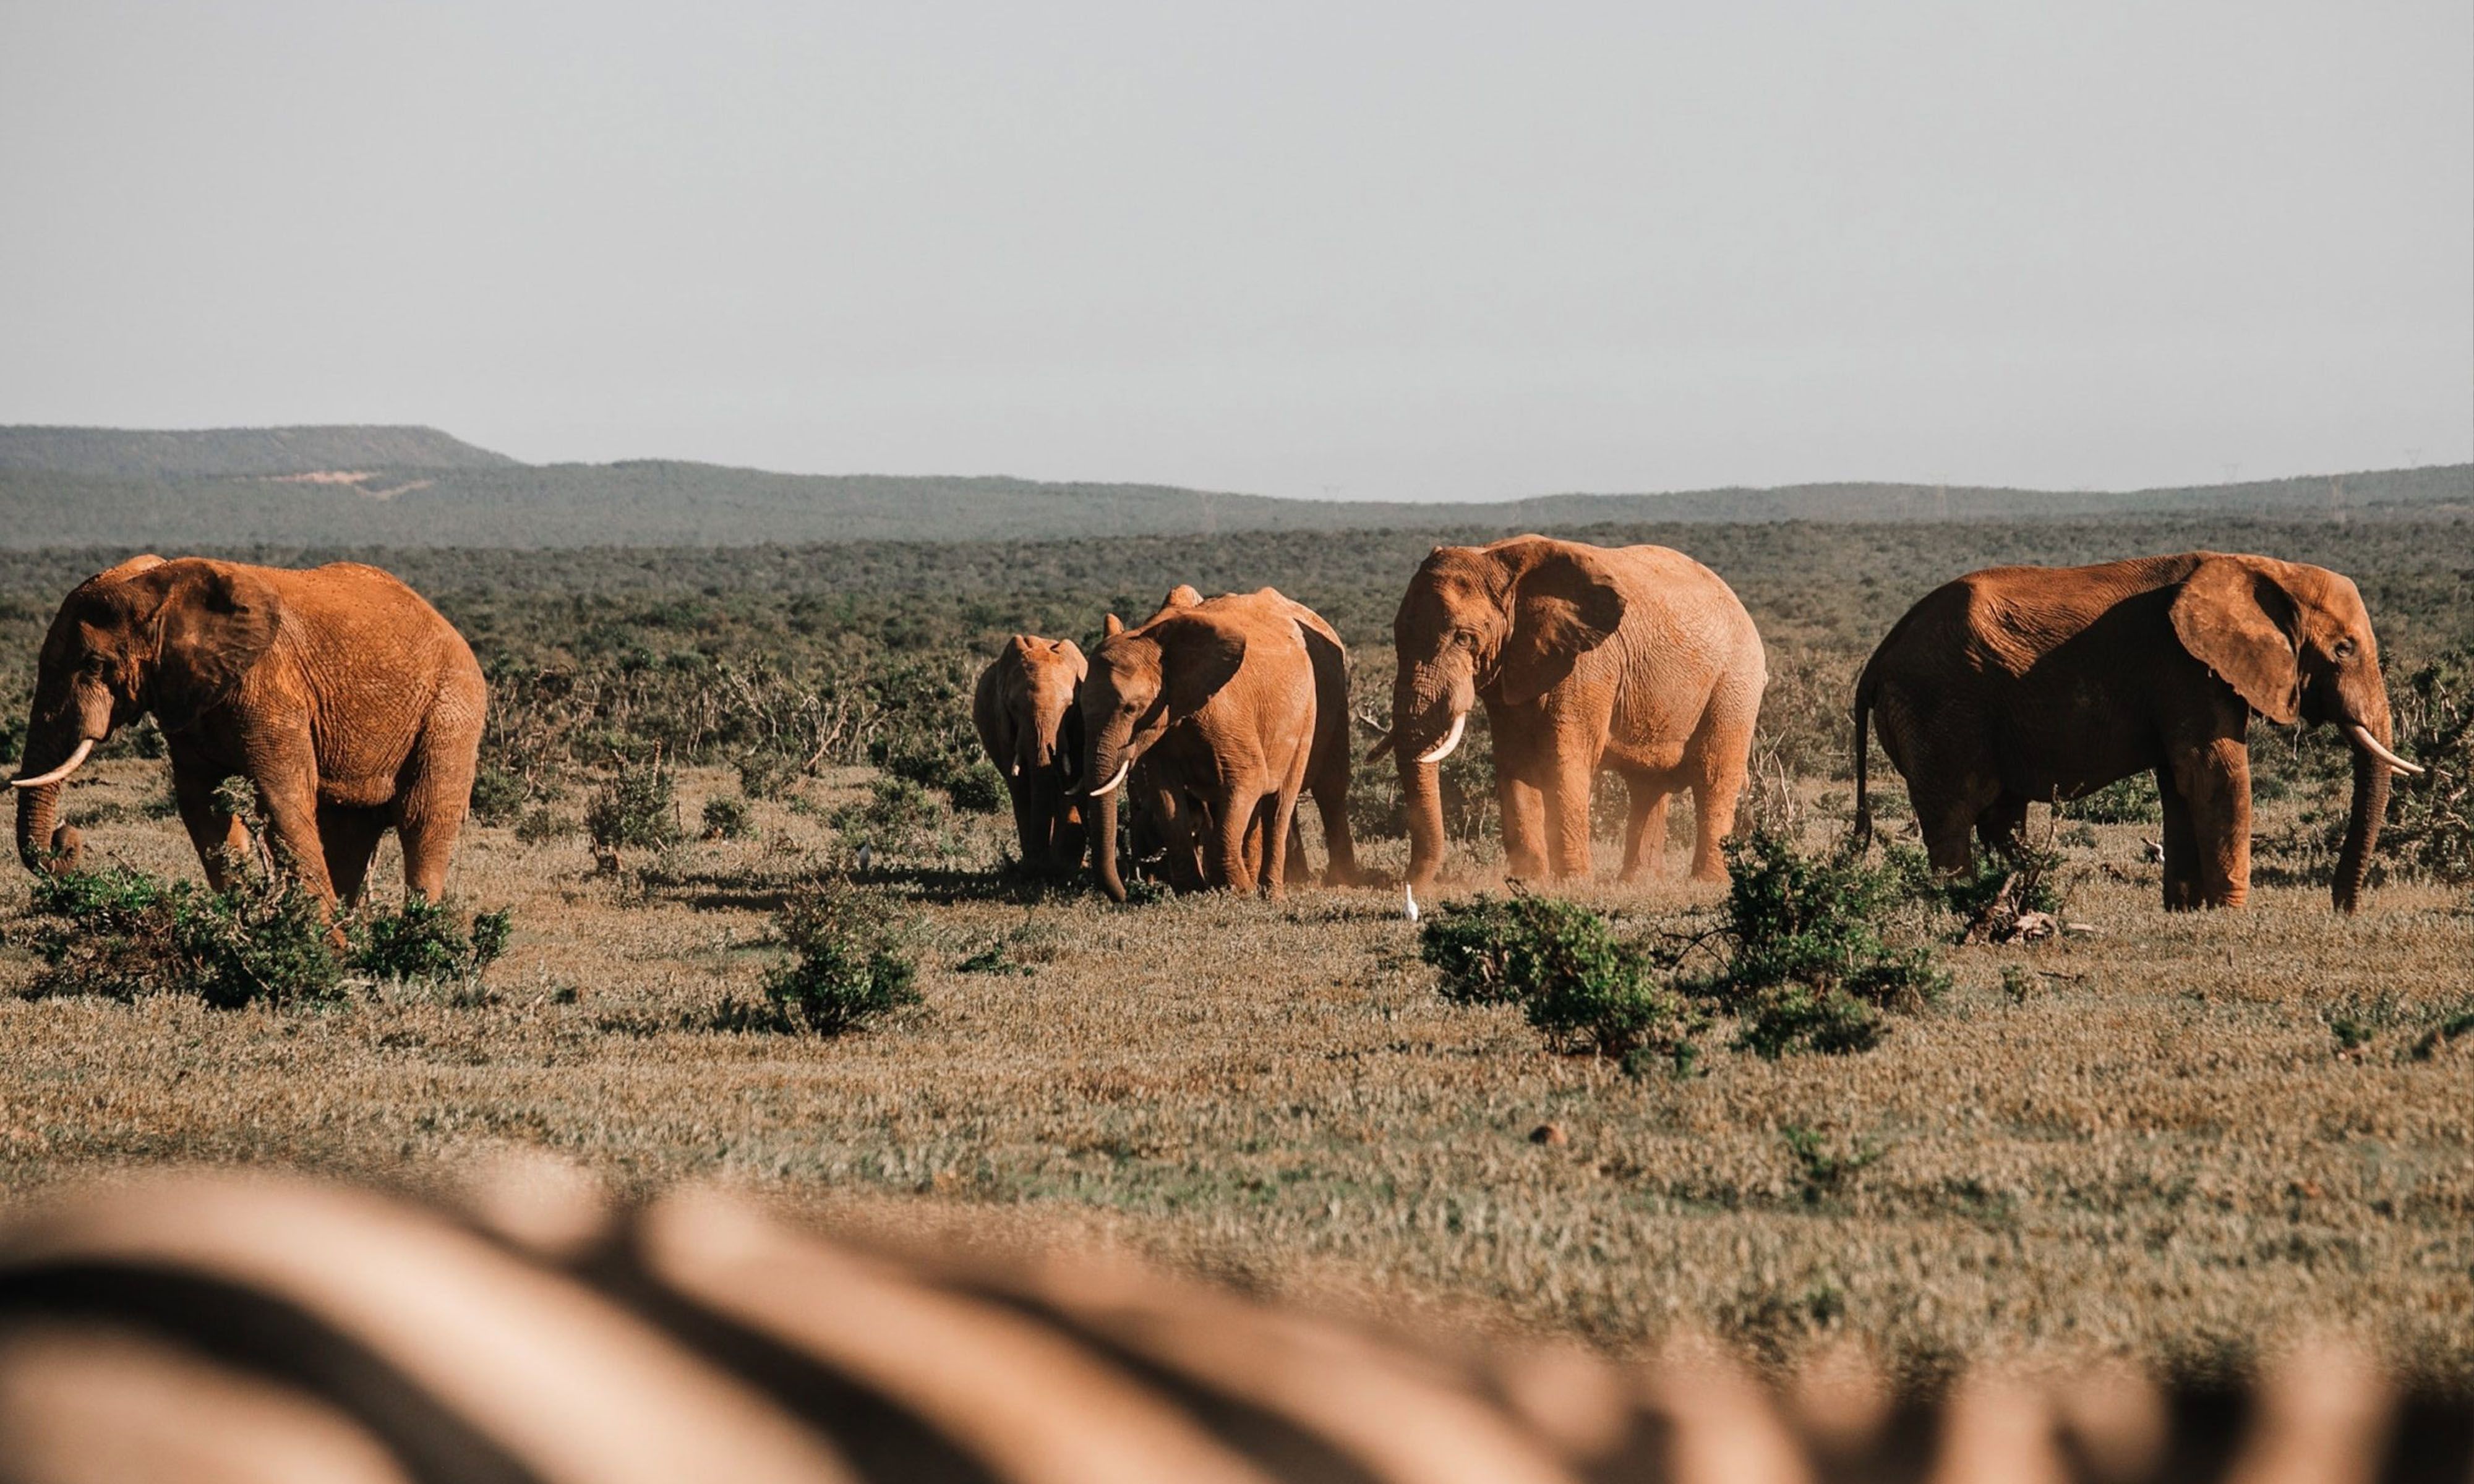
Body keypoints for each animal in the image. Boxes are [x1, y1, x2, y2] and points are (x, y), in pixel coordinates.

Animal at [11, 556, 487, 905]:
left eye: (94, 665)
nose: (65, 838)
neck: (164, 583)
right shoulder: (187, 695)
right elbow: (203, 805)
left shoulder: (272, 686)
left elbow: (282, 798)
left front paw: (319, 948)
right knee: (349, 831)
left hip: (452, 707)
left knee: (424, 817)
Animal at [965, 633, 1084, 871]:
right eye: (1014, 707)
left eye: (1069, 707)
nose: (1041, 864)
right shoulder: (1002, 724)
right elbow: (1019, 784)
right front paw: (1035, 865)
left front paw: (1064, 865)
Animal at [1079, 586, 1336, 900]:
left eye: (1131, 708)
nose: (1124, 894)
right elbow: (1167, 797)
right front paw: (1194, 891)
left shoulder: (1227, 713)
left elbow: (1248, 780)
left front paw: (1238, 891)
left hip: (1306, 716)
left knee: (1279, 805)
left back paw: (1270, 893)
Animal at [1385, 537, 1771, 885]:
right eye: (1397, 638)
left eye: (1463, 638)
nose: (1410, 885)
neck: (1498, 559)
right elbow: (1514, 762)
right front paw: (1528, 881)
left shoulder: (1586, 666)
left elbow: (1564, 760)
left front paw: (1572, 883)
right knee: (1646, 785)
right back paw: (1637, 883)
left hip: (1736, 681)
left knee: (1714, 775)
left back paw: (1708, 882)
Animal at [1860, 552, 2415, 910]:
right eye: (2344, 649)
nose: (2342, 909)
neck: (2264, 569)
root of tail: (1880, 655)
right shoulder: (2187, 667)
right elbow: (2212, 775)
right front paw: (2232, 913)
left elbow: (2180, 785)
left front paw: (2188, 912)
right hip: (1940, 707)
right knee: (1955, 815)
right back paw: (1959, 905)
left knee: (2001, 815)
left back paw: (2013, 897)